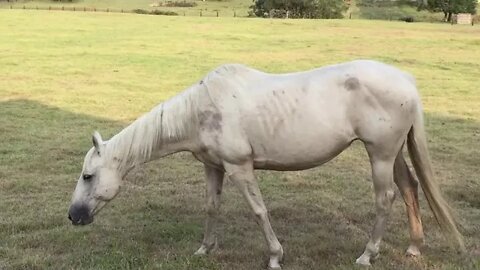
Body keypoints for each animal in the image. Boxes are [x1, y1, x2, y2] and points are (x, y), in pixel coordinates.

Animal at [68, 60, 464, 268]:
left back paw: (367, 255)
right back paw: (414, 247)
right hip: (392, 153)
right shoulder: (213, 167)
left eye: (88, 176)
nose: (73, 216)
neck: (201, 110)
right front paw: (205, 249)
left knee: (385, 199)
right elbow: (211, 207)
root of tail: (405, 80)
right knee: (410, 188)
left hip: (380, 155)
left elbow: (259, 211)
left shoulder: (239, 167)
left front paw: (275, 256)